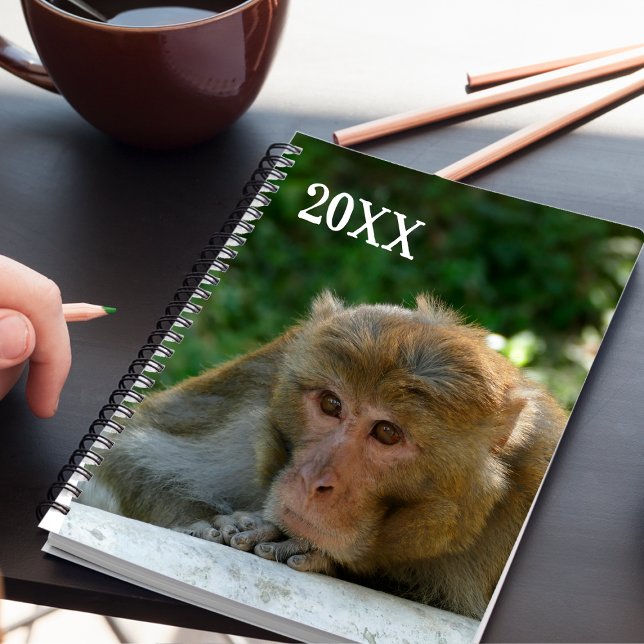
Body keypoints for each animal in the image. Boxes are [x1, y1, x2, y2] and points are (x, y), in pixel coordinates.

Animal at [78, 291, 566, 619]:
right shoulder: (267, 376)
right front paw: (206, 521)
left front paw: (309, 551)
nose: (315, 480)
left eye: (387, 432)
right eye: (332, 404)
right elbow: (129, 450)